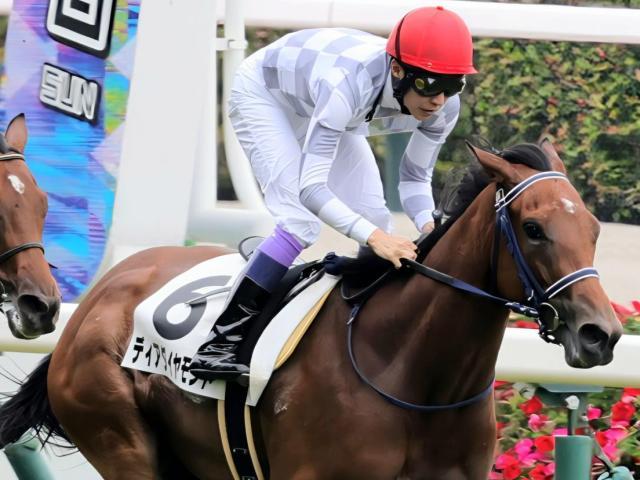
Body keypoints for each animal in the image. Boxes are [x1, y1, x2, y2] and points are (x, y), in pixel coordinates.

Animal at [0, 139, 622, 479]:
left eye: (593, 229)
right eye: (534, 229)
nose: (602, 334)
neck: (415, 376)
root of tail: (97, 297)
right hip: (119, 437)